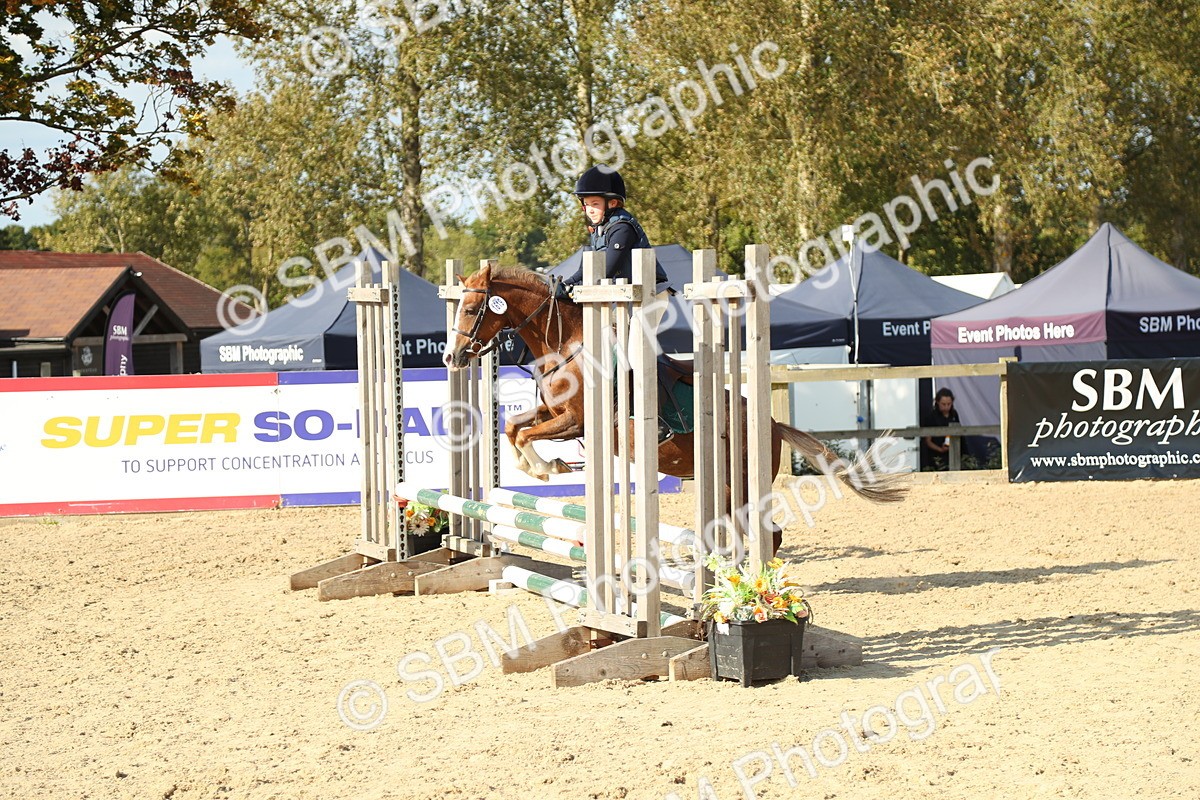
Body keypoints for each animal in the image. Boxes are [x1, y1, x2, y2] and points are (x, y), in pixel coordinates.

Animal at [442, 264, 906, 549]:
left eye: (472, 308)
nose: (451, 357)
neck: (567, 344)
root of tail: (773, 423)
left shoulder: (577, 421)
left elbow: (526, 434)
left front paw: (544, 468)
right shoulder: (555, 414)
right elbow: (514, 427)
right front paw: (538, 467)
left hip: (740, 483)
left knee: (766, 533)